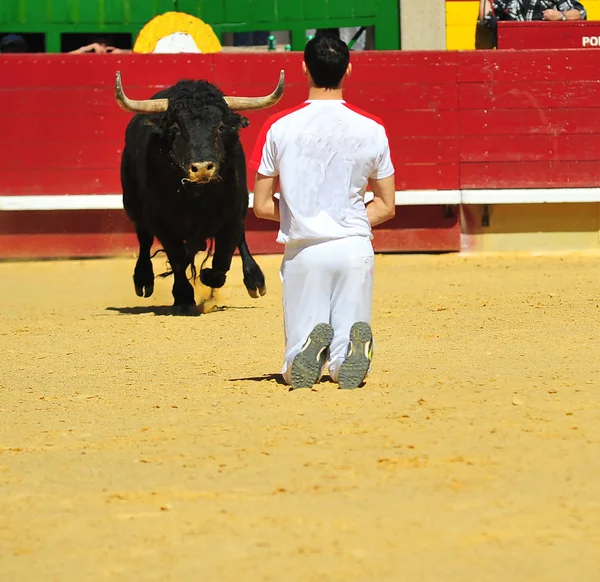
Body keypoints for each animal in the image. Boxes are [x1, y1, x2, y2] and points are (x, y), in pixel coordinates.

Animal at [117, 70, 286, 318]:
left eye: (220, 127)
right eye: (176, 128)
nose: (203, 168)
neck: (196, 197)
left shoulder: (232, 215)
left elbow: (223, 256)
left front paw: (209, 277)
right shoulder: (162, 223)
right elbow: (177, 258)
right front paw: (184, 297)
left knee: (240, 238)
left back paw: (254, 280)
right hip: (133, 206)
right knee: (144, 238)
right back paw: (143, 280)